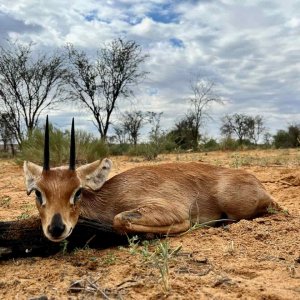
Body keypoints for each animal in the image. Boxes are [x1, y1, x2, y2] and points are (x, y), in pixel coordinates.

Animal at [24, 117, 278, 241]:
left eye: (78, 191)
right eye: (38, 192)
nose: (56, 228)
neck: (110, 196)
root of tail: (257, 182)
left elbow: (120, 219)